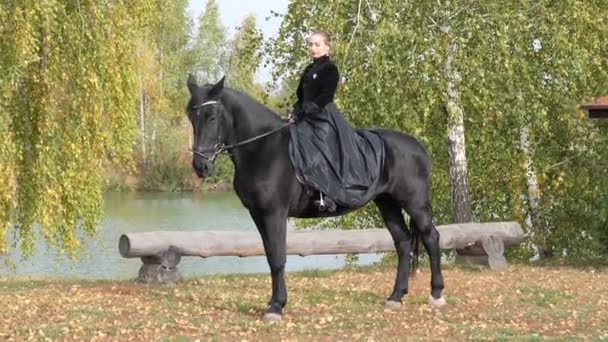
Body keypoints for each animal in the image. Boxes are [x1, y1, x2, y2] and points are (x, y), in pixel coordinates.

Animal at [185, 76, 446, 322]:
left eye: (211, 117)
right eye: (191, 116)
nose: (200, 166)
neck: (263, 149)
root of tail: (418, 146)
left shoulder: (274, 213)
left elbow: (278, 257)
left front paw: (276, 307)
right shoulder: (258, 214)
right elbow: (270, 255)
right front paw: (273, 303)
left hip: (415, 204)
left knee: (431, 238)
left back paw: (436, 294)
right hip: (387, 203)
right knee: (403, 242)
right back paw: (396, 296)